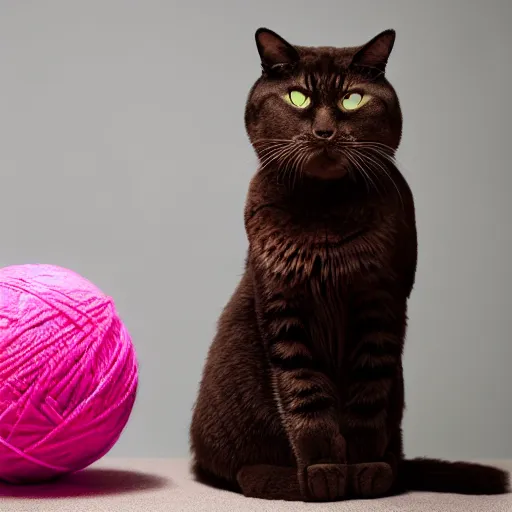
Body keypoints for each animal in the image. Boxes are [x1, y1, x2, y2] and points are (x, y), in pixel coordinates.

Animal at [190, 27, 510, 500]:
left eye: (352, 100)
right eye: (298, 97)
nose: (324, 131)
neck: (325, 211)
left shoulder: (380, 303)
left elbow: (366, 398)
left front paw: (364, 471)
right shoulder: (283, 307)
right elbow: (305, 395)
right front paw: (323, 472)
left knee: (393, 449)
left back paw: (385, 470)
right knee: (238, 470)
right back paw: (279, 479)